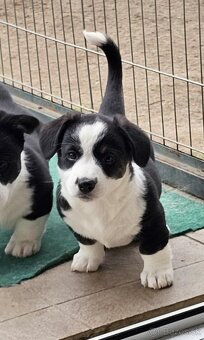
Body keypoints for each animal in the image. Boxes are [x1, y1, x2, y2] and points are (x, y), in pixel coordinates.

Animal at [40, 31, 174, 288]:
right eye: (71, 155)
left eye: (109, 157)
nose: (85, 184)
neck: (100, 207)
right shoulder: (73, 220)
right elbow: (87, 240)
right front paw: (87, 259)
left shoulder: (153, 219)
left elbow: (153, 247)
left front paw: (157, 274)